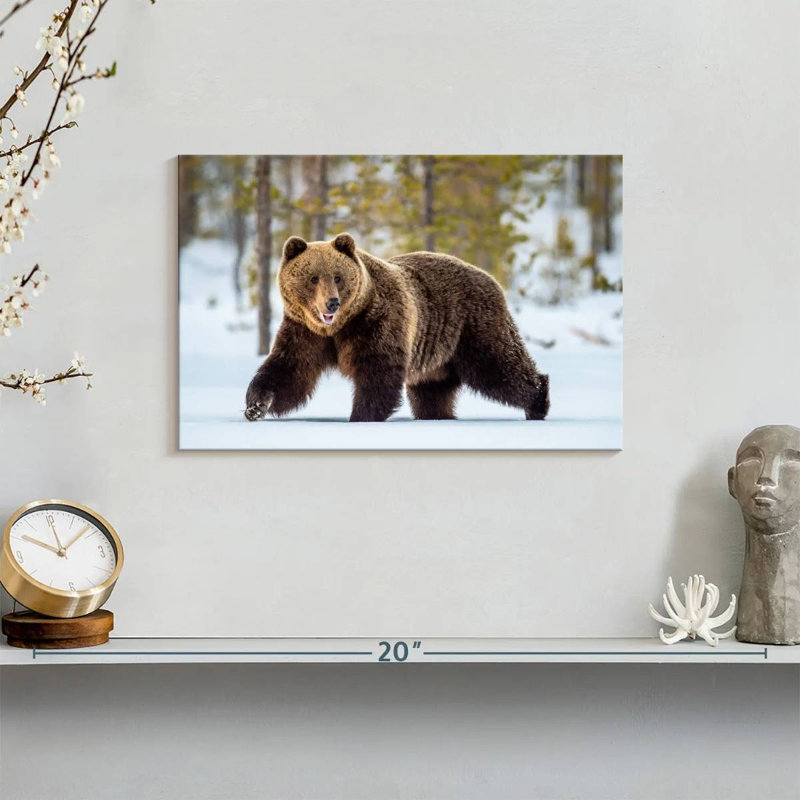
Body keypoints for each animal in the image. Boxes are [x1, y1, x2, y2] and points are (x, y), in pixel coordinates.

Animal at [244, 233, 550, 423]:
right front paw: (256, 406)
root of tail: (490, 278)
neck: (338, 327)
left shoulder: (376, 322)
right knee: (432, 390)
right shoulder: (304, 331)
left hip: (472, 326)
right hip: (437, 354)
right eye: (313, 278)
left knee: (500, 367)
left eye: (338, 277)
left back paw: (537, 401)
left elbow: (378, 371)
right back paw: (437, 415)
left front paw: (360, 415)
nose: (332, 303)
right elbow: (289, 370)